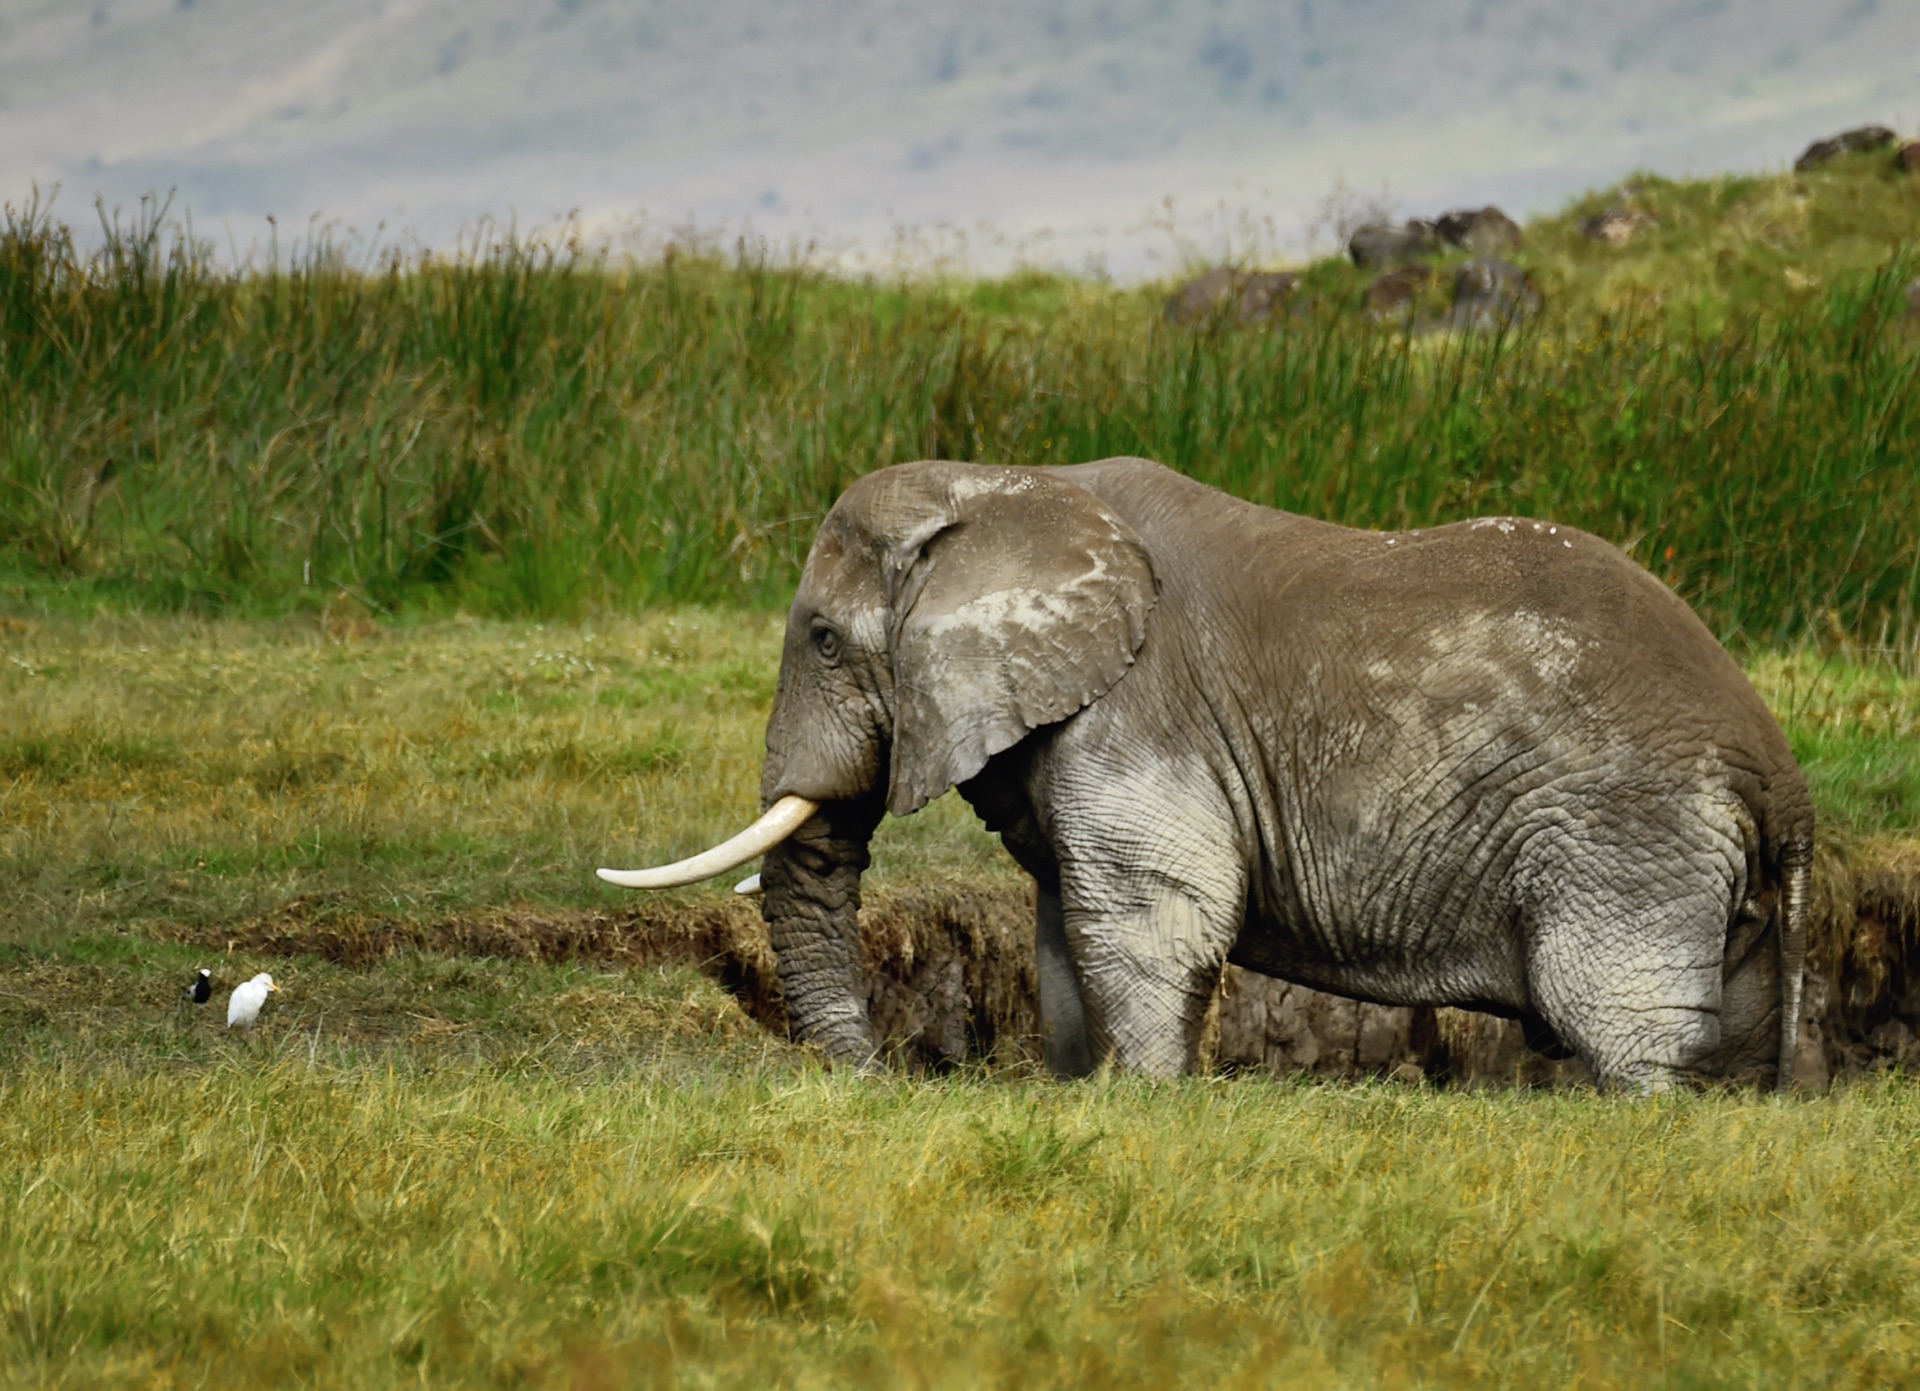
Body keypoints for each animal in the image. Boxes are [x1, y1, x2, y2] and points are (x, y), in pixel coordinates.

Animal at [602, 457, 1812, 1083]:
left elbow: (1143, 919)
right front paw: (1086, 1089)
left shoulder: (1143, 710)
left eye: (819, 637)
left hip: (1627, 835)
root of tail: (1784, 779)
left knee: (1619, 1024)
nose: (881, 1073)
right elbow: (1066, 932)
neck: (1008, 486)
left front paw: (1143, 1098)